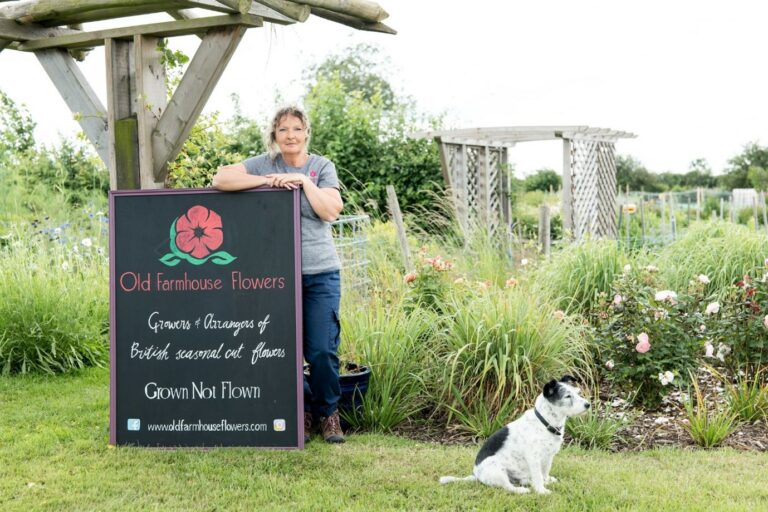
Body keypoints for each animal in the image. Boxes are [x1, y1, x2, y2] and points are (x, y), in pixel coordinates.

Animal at [440, 376, 590, 495]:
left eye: (578, 393)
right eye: (567, 396)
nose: (588, 404)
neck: (544, 422)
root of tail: (476, 475)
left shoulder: (549, 457)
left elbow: (544, 473)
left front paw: (546, 482)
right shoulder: (534, 458)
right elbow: (538, 476)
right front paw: (542, 491)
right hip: (497, 469)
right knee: (508, 487)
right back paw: (521, 490)